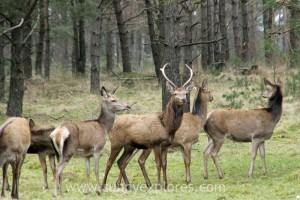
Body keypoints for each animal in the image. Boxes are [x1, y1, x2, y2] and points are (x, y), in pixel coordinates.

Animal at [101, 63, 193, 191]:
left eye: (185, 93)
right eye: (175, 94)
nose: (183, 100)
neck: (166, 126)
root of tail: (113, 123)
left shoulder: (166, 145)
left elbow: (165, 164)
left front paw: (166, 185)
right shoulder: (156, 143)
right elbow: (158, 164)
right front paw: (158, 185)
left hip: (129, 146)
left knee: (121, 162)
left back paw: (128, 185)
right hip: (116, 143)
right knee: (109, 162)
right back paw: (103, 185)